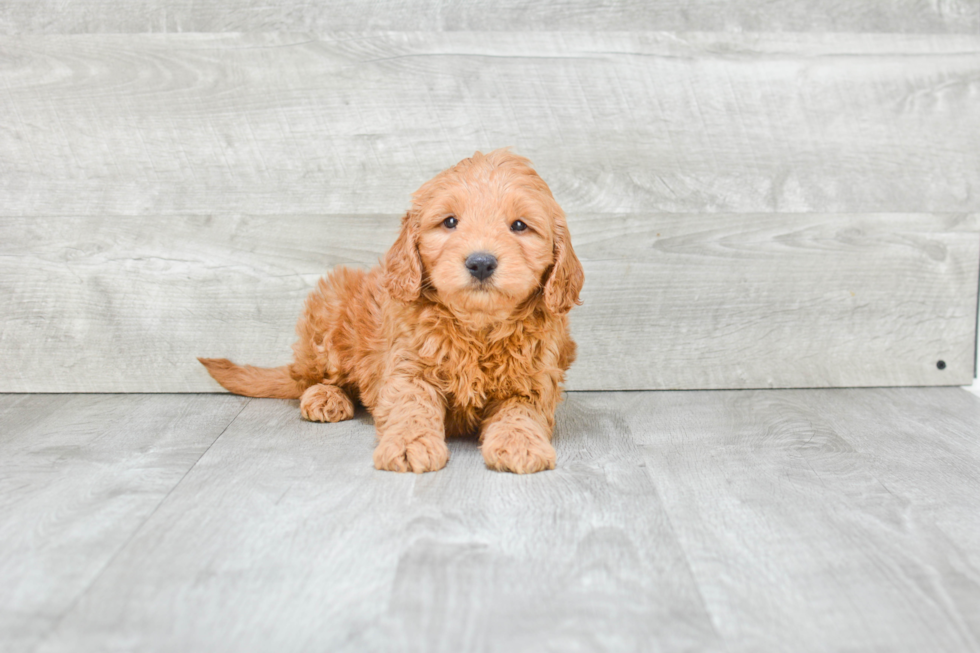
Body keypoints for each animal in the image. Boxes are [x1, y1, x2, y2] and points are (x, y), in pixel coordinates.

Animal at [199, 149, 580, 474]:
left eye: (519, 226)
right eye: (450, 222)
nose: (481, 262)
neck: (477, 325)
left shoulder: (533, 380)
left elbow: (521, 412)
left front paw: (519, 442)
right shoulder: (407, 369)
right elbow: (411, 407)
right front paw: (410, 445)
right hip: (330, 309)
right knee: (306, 379)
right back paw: (325, 396)